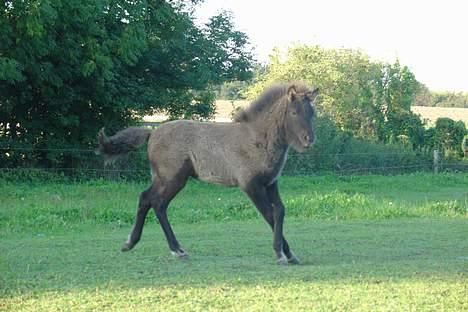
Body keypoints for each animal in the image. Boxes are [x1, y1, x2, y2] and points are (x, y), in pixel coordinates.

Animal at [97, 81, 320, 264]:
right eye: (294, 113)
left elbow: (280, 211)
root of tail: (151, 133)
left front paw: (290, 254)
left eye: (312, 113)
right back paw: (177, 250)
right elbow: (270, 214)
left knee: (148, 199)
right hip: (173, 179)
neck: (259, 139)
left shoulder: (271, 183)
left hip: (163, 178)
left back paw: (133, 243)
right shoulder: (251, 185)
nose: (309, 139)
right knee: (157, 203)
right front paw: (280, 254)